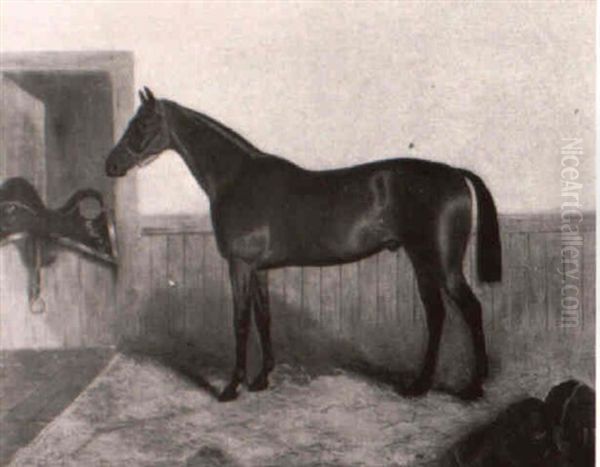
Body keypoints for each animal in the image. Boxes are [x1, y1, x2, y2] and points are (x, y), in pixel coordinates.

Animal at [106, 88, 502, 402]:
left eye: (142, 125)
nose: (111, 164)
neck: (237, 178)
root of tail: (454, 174)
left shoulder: (239, 265)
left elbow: (240, 321)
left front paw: (232, 387)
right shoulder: (259, 270)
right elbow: (264, 318)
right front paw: (261, 379)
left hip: (443, 263)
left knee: (470, 309)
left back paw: (473, 387)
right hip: (421, 261)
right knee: (436, 315)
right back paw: (418, 386)